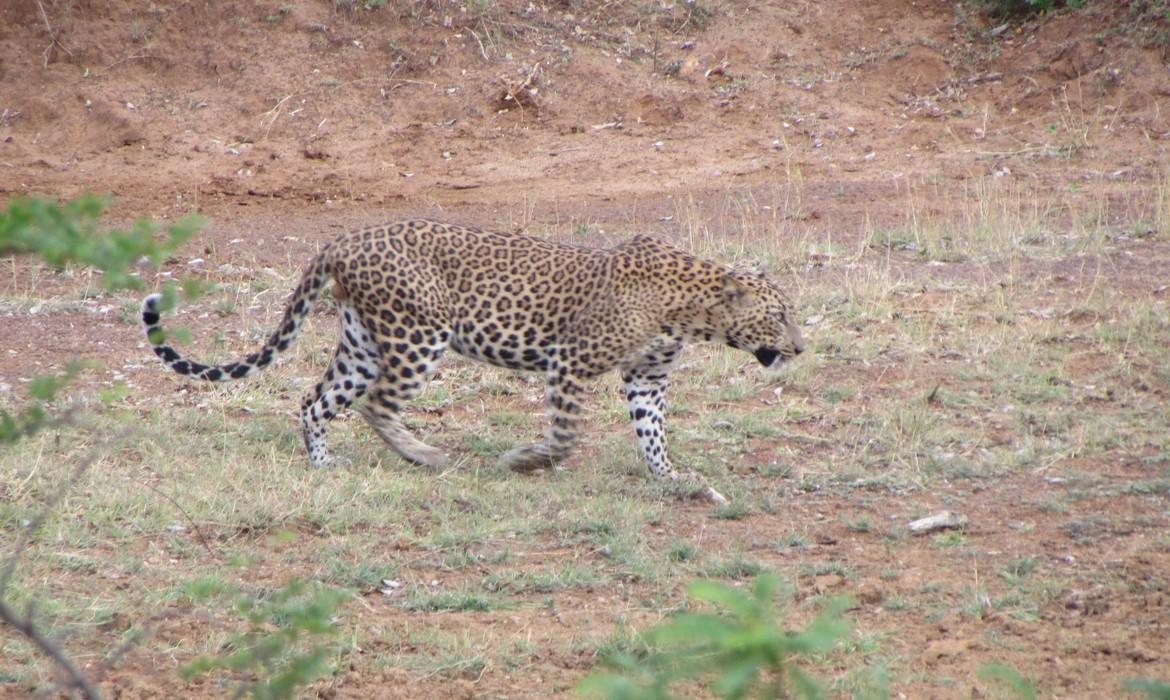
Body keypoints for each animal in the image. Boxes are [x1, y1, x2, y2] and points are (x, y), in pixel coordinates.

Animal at [141, 218, 804, 503]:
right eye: (779, 316)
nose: (800, 348)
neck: (693, 309)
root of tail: (342, 239)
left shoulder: (647, 377)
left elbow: (653, 434)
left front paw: (672, 479)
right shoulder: (571, 363)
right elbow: (565, 436)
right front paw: (525, 461)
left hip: (362, 343)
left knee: (315, 400)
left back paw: (324, 464)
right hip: (419, 334)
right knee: (378, 403)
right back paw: (427, 456)